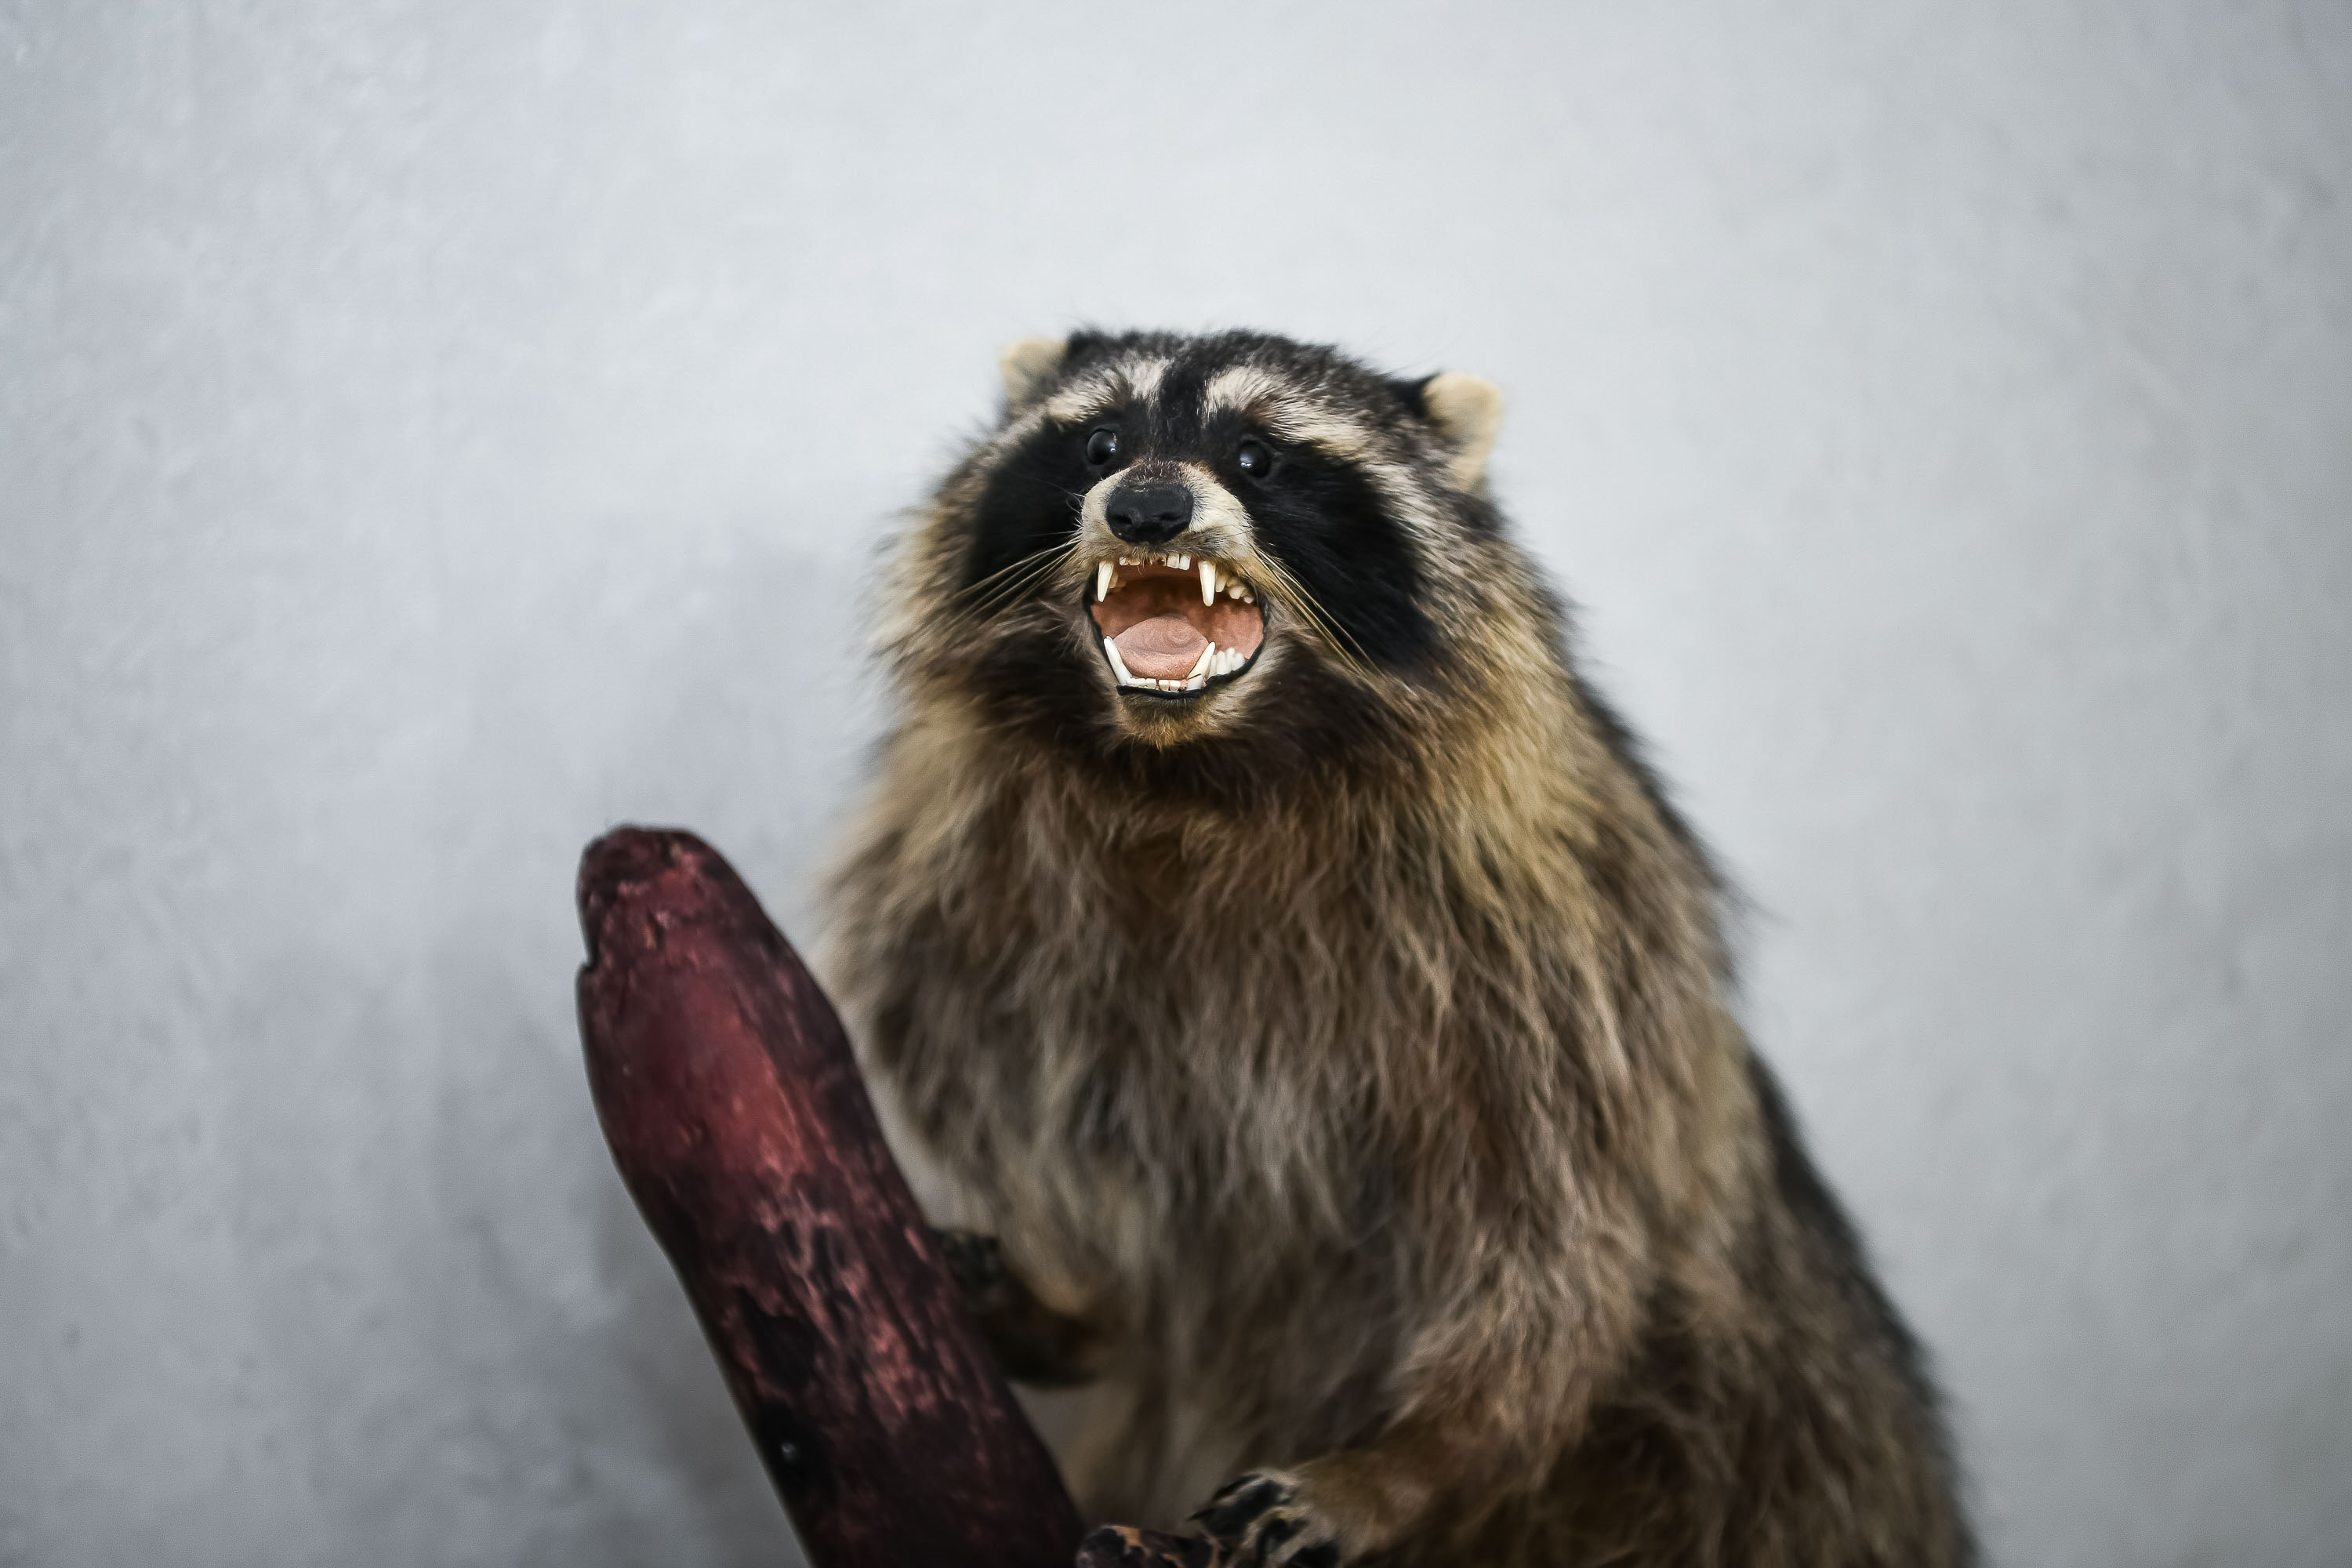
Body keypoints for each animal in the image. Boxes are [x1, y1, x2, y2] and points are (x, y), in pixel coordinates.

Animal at [823, 330, 1970, 1567]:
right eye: (1099, 443)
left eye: (1257, 455)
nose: (1146, 505)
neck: (1189, 777)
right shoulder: (967, 891)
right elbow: (1056, 1127)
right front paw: (1086, 1298)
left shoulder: (1560, 938)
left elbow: (1563, 1247)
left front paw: (1414, 1457)